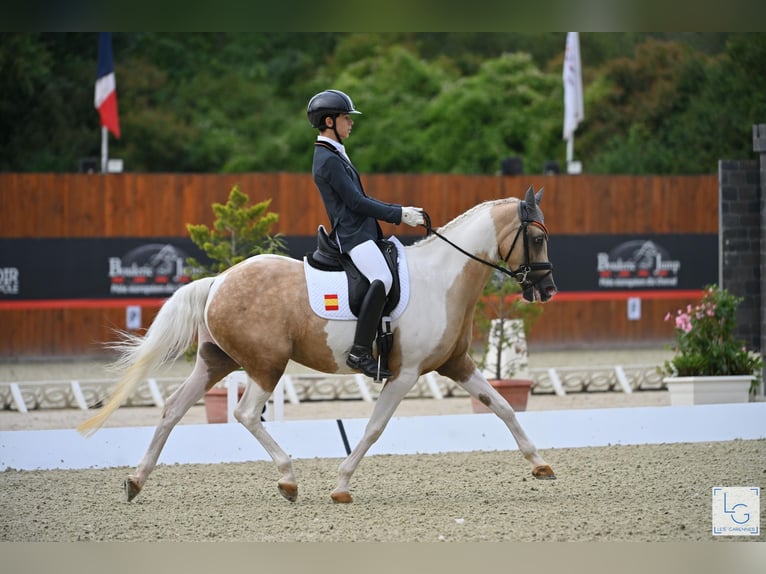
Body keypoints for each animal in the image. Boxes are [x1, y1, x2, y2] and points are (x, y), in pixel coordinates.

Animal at [78, 185, 558, 504]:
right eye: (536, 238)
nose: (547, 290)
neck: (441, 279)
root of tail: (218, 280)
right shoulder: (403, 374)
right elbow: (373, 428)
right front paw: (341, 485)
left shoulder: (456, 364)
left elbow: (503, 406)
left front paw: (541, 465)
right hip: (266, 364)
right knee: (245, 413)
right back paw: (288, 479)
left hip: (217, 362)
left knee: (173, 410)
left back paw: (136, 481)